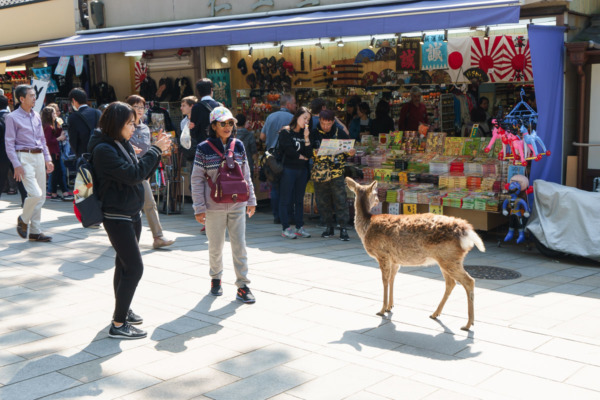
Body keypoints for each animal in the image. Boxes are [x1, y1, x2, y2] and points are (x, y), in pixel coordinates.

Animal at [344, 178, 486, 332]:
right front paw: (390, 307)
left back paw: (468, 324)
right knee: (451, 283)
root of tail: (467, 231)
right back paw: (435, 314)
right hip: (446, 259)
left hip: (449, 258)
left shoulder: (382, 254)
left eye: (375, 193)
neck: (366, 227)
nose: (378, 200)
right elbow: (392, 279)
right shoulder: (395, 259)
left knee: (469, 281)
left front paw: (381, 310)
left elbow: (384, 280)